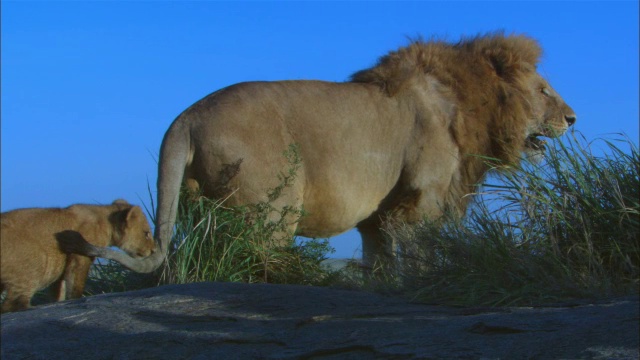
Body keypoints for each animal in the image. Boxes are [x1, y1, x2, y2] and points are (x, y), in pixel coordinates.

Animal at [0, 200, 155, 312]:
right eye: (146, 233)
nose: (153, 250)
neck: (104, 219)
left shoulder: (61, 270)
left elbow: (59, 292)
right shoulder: (80, 257)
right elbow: (76, 286)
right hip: (36, 264)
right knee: (11, 304)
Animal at [62, 32, 576, 272]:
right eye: (544, 91)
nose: (573, 118)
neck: (471, 106)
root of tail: (185, 116)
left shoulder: (380, 216)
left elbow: (382, 264)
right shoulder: (422, 201)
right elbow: (421, 255)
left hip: (205, 206)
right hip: (272, 211)